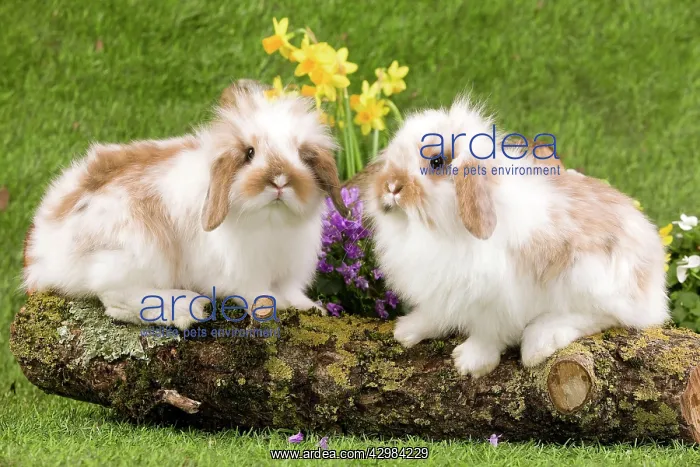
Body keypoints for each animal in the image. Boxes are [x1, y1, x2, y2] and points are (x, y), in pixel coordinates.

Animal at [23, 79, 347, 330]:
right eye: (249, 153)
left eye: (302, 156)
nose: (279, 180)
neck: (271, 221)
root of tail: (44, 250)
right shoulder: (242, 273)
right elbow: (255, 292)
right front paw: (271, 305)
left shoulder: (290, 269)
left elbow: (293, 292)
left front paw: (310, 307)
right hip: (140, 251)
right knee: (115, 298)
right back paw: (185, 307)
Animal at [361, 96, 669, 378]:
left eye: (436, 162)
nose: (391, 186)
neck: (433, 229)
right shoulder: (440, 290)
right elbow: (435, 314)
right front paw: (407, 330)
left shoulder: (498, 298)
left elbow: (489, 333)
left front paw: (470, 362)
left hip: (589, 278)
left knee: (605, 316)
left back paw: (540, 342)